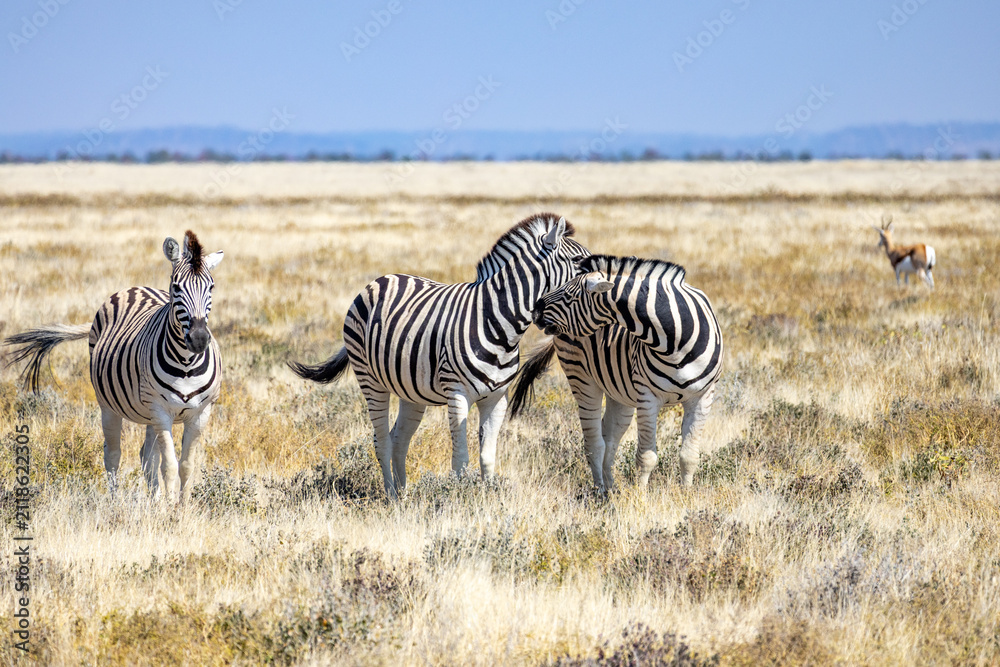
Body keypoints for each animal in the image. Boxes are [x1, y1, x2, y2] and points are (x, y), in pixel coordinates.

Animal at [4, 231, 224, 502]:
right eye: (176, 287)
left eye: (211, 287)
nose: (199, 339)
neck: (185, 363)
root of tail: (135, 288)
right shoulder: (161, 411)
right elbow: (170, 465)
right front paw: (170, 509)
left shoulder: (201, 413)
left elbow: (186, 465)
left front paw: (181, 508)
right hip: (109, 406)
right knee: (113, 454)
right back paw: (115, 501)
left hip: (148, 413)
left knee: (146, 457)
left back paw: (154, 501)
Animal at [289, 213, 590, 499]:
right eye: (578, 260)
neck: (498, 322)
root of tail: (378, 280)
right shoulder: (457, 394)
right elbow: (461, 458)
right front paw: (458, 498)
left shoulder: (496, 398)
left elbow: (487, 456)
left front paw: (488, 499)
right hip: (370, 380)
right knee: (381, 440)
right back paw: (390, 497)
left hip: (409, 390)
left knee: (399, 439)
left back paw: (403, 496)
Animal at [510, 254, 723, 490]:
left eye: (569, 295)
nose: (535, 310)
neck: (676, 342)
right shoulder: (648, 397)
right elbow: (646, 458)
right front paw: (641, 497)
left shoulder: (702, 396)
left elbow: (689, 456)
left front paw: (685, 493)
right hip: (582, 380)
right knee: (594, 443)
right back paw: (600, 492)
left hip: (620, 392)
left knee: (610, 438)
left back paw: (611, 489)